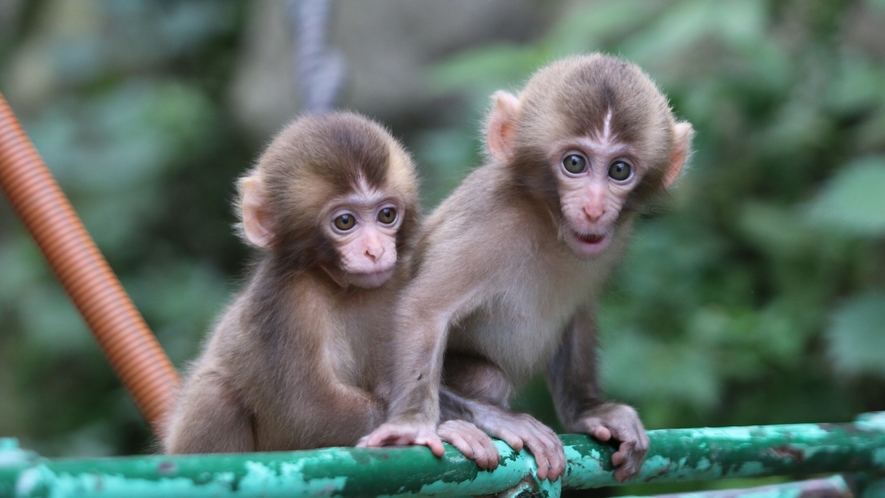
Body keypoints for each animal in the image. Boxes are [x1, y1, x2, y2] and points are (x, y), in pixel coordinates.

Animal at [164, 112, 498, 466]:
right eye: (345, 222)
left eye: (387, 215)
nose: (374, 250)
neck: (348, 290)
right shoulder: (288, 301)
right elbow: (308, 411)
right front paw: (442, 426)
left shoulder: (403, 273)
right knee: (216, 394)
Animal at [362, 55, 696, 482]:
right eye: (575, 163)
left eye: (620, 170)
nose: (594, 208)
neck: (547, 220)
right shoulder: (497, 225)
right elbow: (424, 310)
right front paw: (413, 425)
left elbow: (578, 314)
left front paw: (588, 410)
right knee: (487, 376)